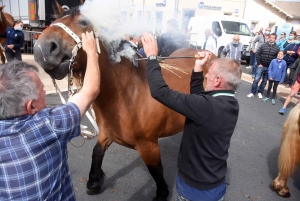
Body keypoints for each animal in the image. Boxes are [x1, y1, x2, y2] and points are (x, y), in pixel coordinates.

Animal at [32, 6, 216, 201]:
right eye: (52, 22)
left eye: (83, 21)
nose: (42, 50)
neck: (130, 92)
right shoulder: (108, 133)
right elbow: (97, 152)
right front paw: (94, 182)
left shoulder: (149, 146)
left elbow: (156, 170)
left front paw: (162, 194)